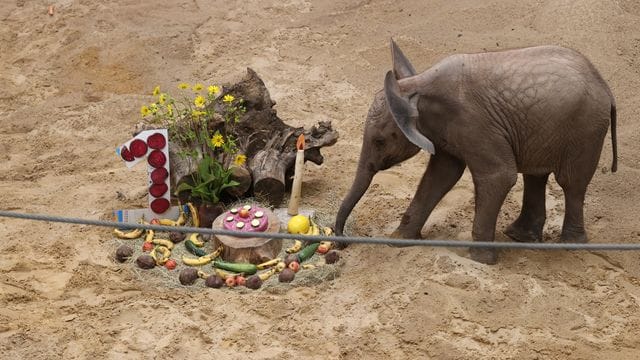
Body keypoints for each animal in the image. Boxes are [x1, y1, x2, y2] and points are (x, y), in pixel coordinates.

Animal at [336, 40, 616, 264]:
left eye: (380, 141)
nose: (342, 243)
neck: (416, 86)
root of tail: (605, 87)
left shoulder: (473, 122)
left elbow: (499, 176)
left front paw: (480, 260)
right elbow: (441, 175)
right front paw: (399, 241)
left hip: (585, 128)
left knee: (571, 183)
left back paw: (569, 246)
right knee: (536, 175)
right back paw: (519, 237)